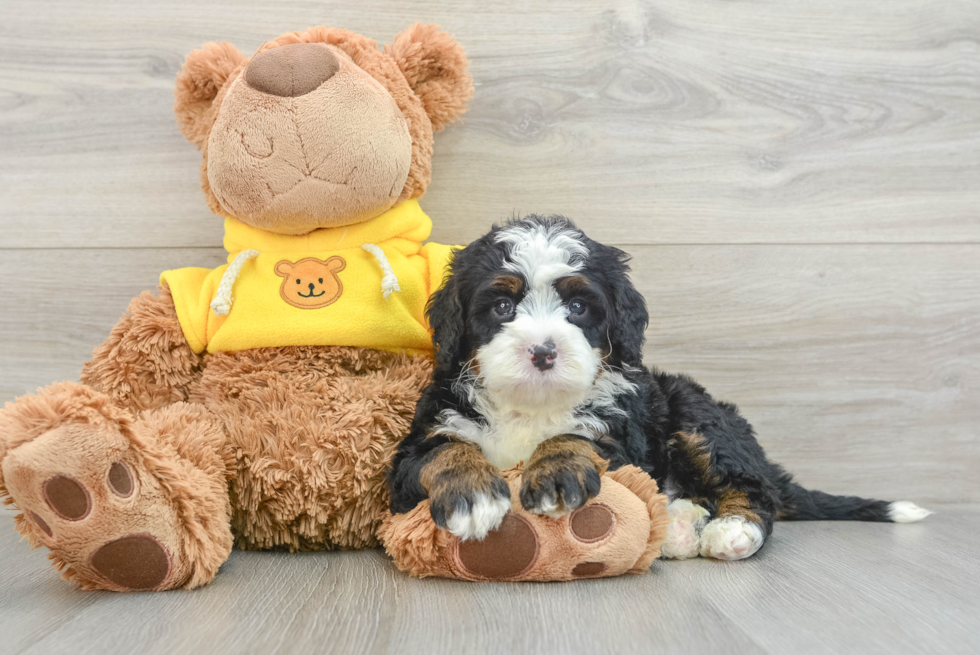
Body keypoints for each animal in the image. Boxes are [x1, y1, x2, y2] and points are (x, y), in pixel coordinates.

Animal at [386, 218, 932, 560]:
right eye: (502, 307)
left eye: (578, 308)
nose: (543, 351)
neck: (531, 407)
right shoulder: (414, 450)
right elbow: (445, 451)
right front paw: (474, 495)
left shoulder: (624, 437)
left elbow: (577, 437)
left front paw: (556, 470)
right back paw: (680, 525)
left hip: (695, 415)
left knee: (752, 490)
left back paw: (731, 531)